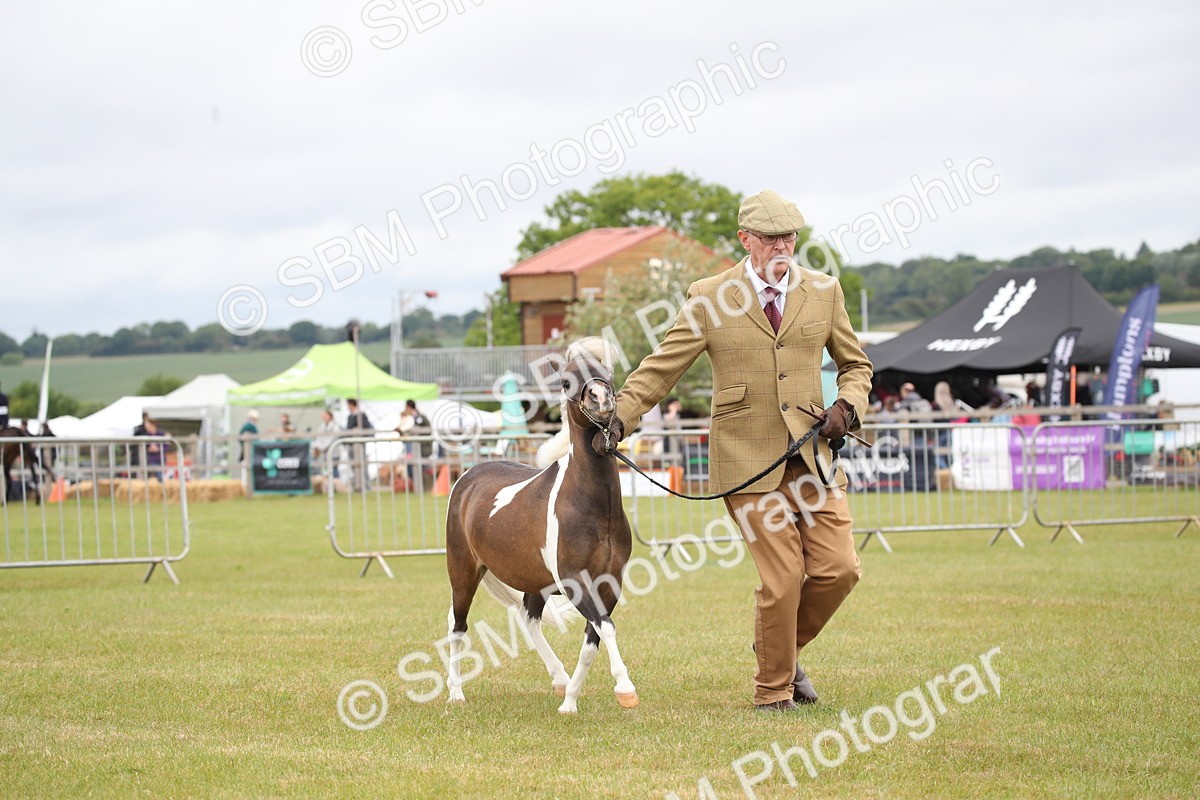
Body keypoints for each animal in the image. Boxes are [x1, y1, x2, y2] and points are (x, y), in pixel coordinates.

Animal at [444, 337, 638, 714]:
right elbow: (605, 628)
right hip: (463, 572)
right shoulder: (575, 581)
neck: (594, 508)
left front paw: (570, 701)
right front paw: (625, 687)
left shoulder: (608, 583)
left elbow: (593, 638)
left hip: (535, 582)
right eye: (565, 382)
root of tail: (468, 478)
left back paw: (559, 678)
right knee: (457, 625)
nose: (600, 399)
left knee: (528, 619)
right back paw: (455, 693)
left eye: (607, 373)